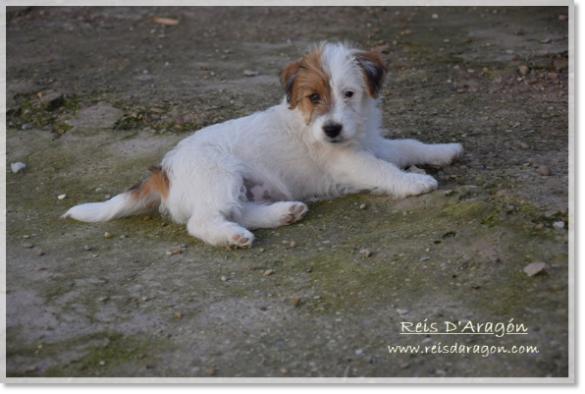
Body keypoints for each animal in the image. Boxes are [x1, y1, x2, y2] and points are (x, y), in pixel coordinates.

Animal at [64, 41, 464, 248]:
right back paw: (234, 236)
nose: (332, 129)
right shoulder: (352, 161)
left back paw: (284, 212)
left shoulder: (373, 144)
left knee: (240, 210)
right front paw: (415, 181)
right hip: (221, 177)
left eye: (349, 93)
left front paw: (442, 150)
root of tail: (163, 172)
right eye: (313, 97)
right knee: (202, 221)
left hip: (242, 187)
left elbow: (406, 146)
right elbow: (384, 170)